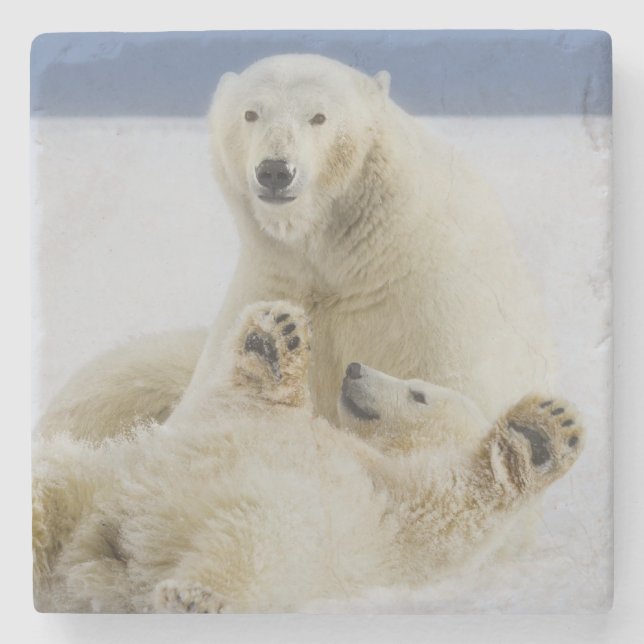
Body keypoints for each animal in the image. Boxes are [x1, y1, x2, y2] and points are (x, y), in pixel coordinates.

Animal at [33, 301, 583, 613]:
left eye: (418, 392)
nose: (355, 368)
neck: (379, 454)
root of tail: (108, 558)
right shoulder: (244, 419)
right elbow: (245, 399)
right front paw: (277, 335)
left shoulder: (396, 520)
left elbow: (452, 506)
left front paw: (540, 433)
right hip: (98, 480)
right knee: (50, 494)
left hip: (268, 531)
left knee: (248, 544)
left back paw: (193, 597)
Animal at [38, 53, 554, 445]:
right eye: (251, 113)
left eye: (318, 116)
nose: (274, 170)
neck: (348, 256)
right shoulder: (274, 279)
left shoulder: (432, 299)